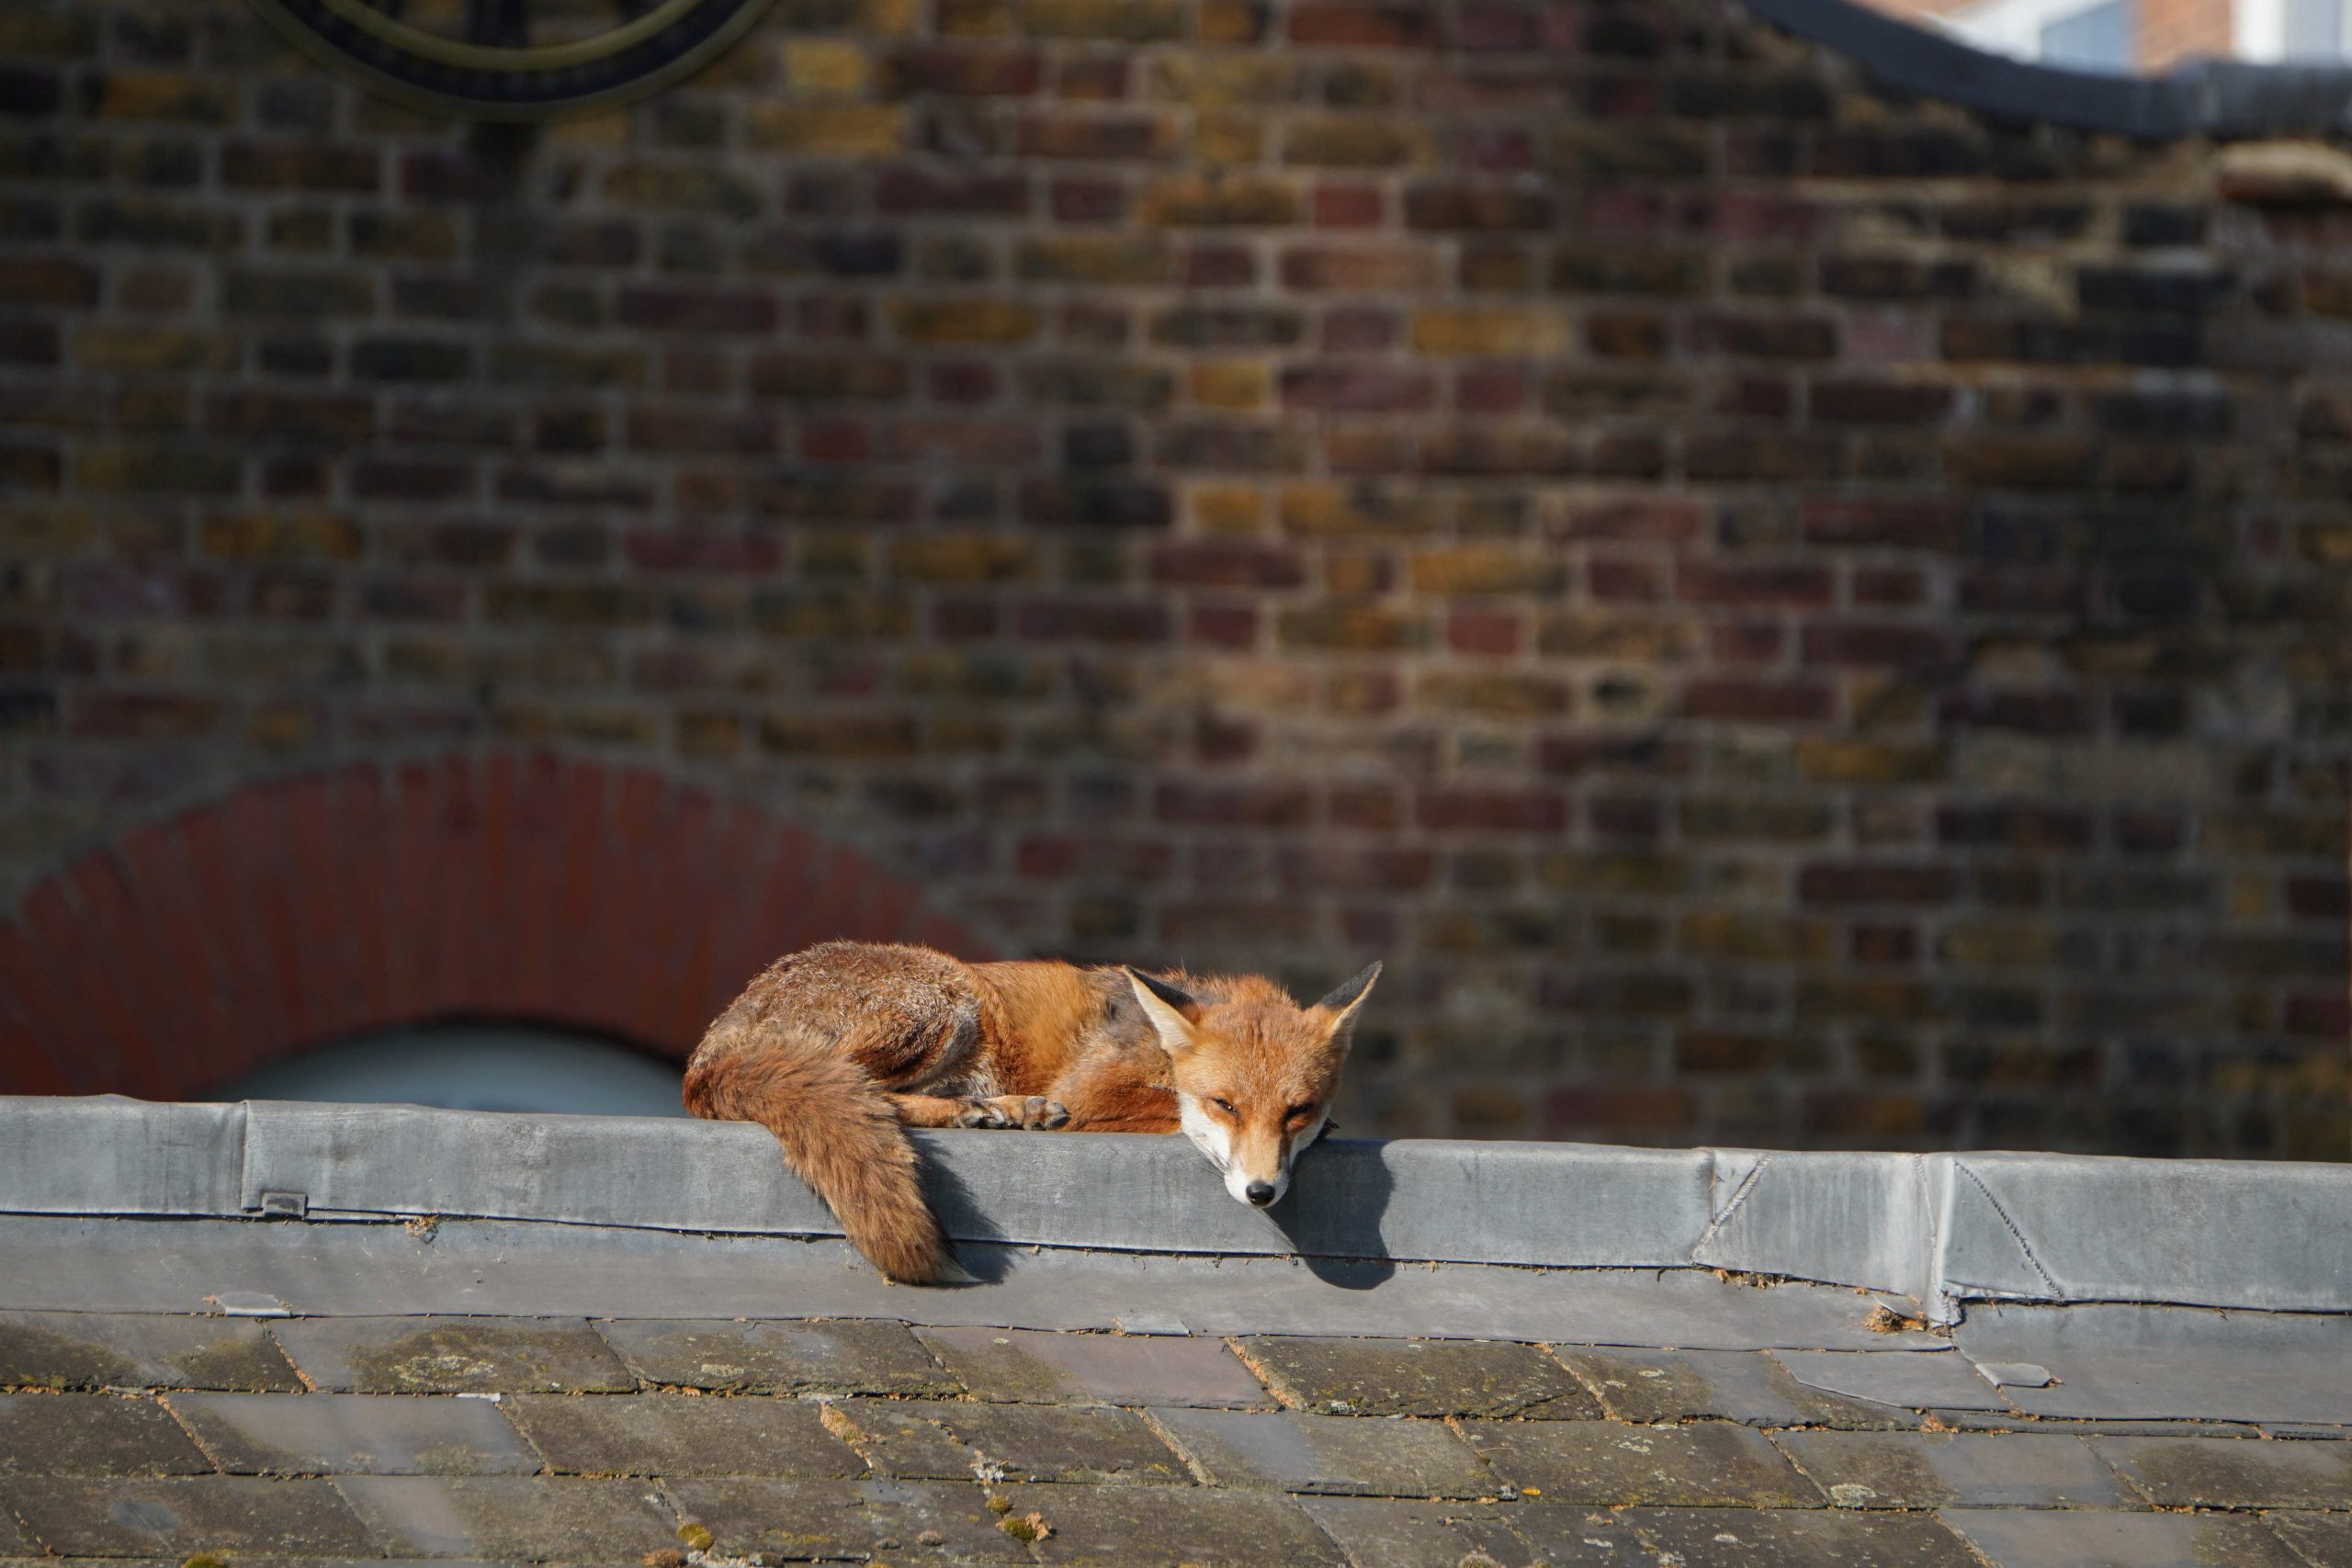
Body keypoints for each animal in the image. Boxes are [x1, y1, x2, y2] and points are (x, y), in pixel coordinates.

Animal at [682, 940, 1381, 1284]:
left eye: (1296, 1109)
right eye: (1225, 1104)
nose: (1261, 1192)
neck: (1155, 1044)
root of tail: (709, 1054)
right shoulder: (1094, 1090)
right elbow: (1162, 1113)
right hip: (944, 1003)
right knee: (867, 1087)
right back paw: (995, 1108)